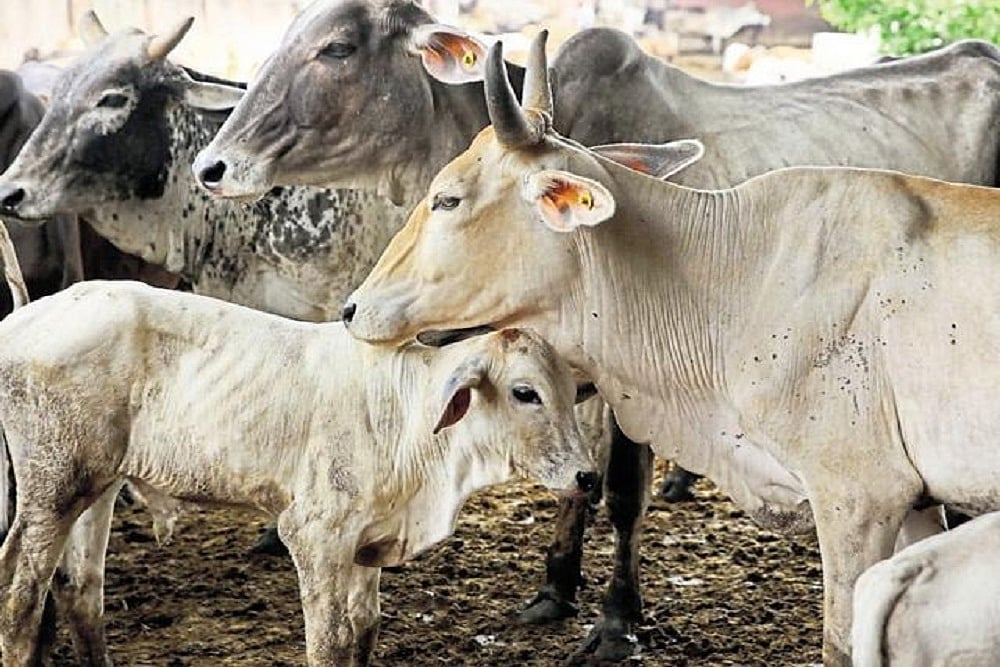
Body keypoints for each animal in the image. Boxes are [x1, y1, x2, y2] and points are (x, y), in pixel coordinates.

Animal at [0, 279, 598, 666]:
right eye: (525, 392)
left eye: (572, 391)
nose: (587, 477)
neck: (405, 412)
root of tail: (22, 320)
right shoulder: (315, 535)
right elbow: (330, 644)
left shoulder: (367, 544)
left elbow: (364, 631)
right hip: (52, 487)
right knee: (20, 600)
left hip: (97, 485)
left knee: (80, 591)